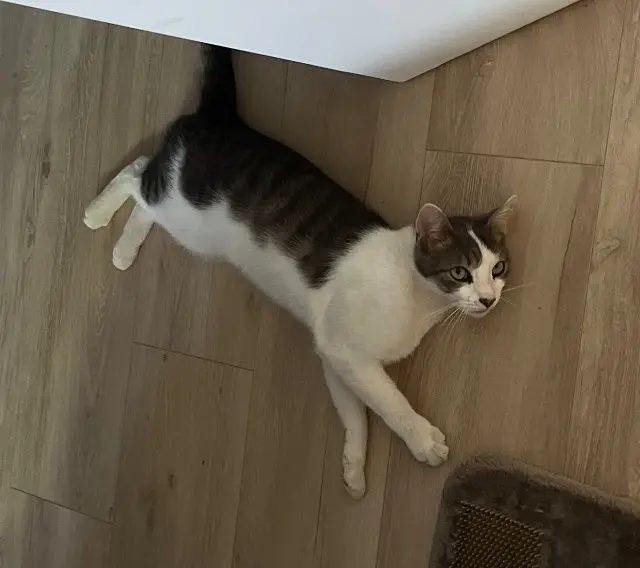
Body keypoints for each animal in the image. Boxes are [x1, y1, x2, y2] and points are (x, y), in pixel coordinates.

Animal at [84, 45, 516, 499]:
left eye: (498, 268)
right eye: (461, 273)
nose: (489, 299)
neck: (417, 299)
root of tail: (222, 119)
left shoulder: (335, 351)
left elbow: (356, 411)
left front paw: (353, 467)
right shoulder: (346, 348)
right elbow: (388, 400)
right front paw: (422, 439)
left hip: (188, 227)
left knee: (146, 202)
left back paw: (124, 249)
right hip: (187, 211)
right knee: (135, 173)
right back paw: (97, 213)